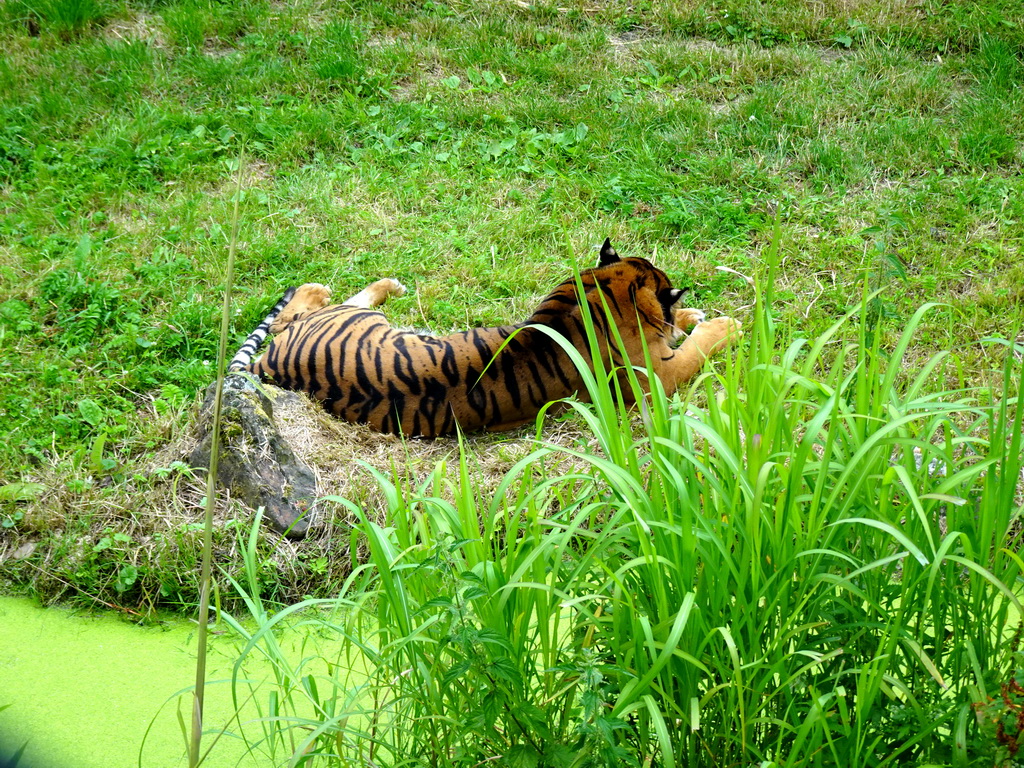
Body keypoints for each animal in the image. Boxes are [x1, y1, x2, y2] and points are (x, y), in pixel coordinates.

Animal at [230, 243, 745, 438]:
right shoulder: (657, 378)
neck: (602, 290)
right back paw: (356, 286)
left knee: (296, 312)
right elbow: (694, 348)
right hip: (353, 319)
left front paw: (690, 314)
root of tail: (265, 366)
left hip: (357, 323)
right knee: (300, 308)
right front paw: (723, 324)